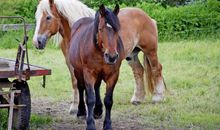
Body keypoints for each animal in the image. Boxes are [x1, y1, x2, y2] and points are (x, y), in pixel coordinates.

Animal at [33, 0, 166, 114]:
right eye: (36, 17)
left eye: (48, 17)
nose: (37, 42)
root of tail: (147, 17)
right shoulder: (72, 65)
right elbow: (75, 82)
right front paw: (75, 108)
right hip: (131, 55)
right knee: (138, 71)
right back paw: (137, 99)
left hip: (150, 51)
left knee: (156, 69)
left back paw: (158, 97)